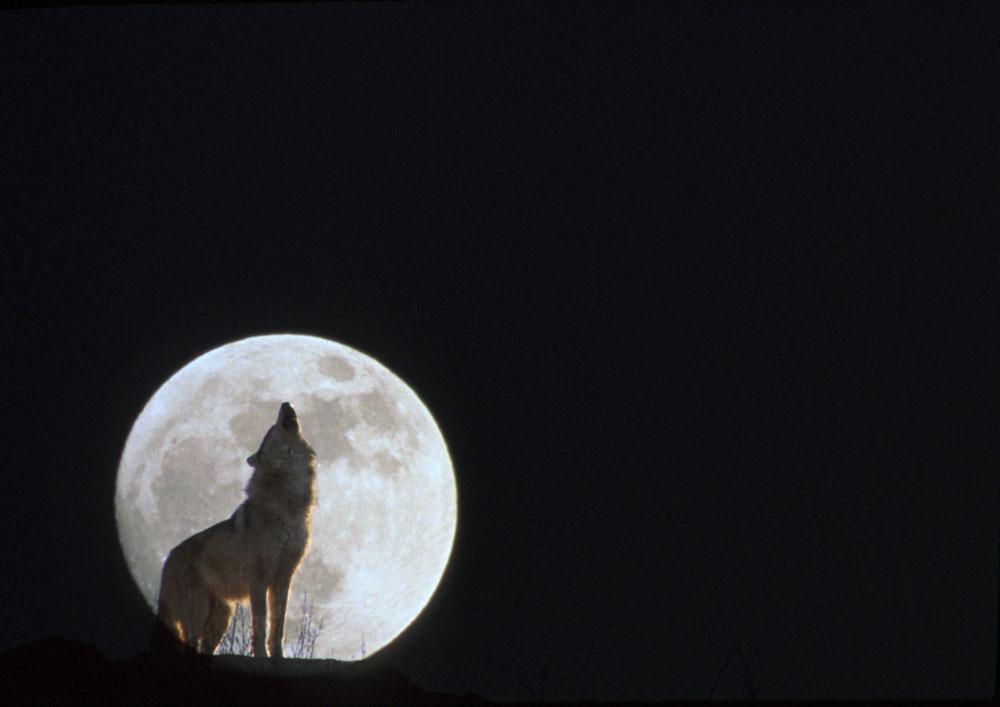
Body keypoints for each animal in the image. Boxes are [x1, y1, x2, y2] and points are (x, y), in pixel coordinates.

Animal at [155, 404, 316, 660]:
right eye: (271, 430)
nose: (285, 404)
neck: (288, 504)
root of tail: (168, 559)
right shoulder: (258, 580)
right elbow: (259, 624)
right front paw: (261, 656)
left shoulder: (283, 578)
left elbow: (277, 626)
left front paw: (278, 657)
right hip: (198, 612)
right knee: (190, 641)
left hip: (221, 618)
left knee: (205, 647)